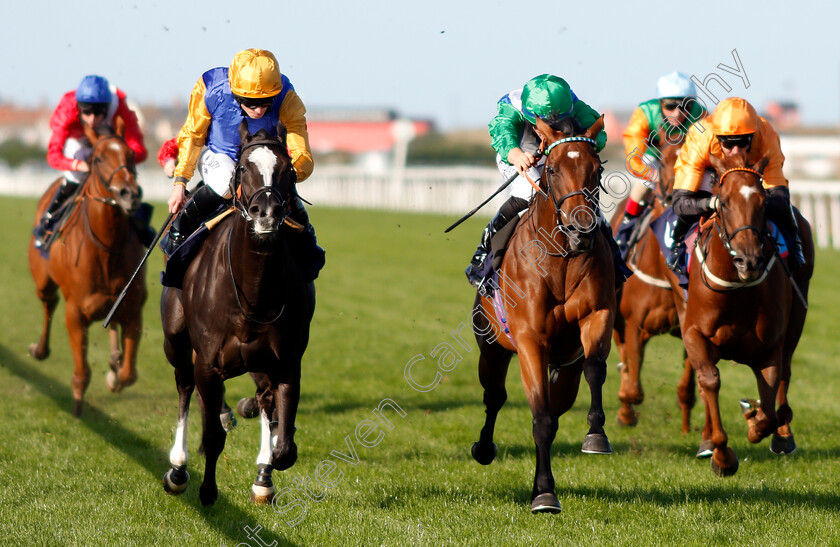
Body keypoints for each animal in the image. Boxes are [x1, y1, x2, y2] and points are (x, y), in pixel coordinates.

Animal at [159, 122, 314, 508]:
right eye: (244, 167)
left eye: (288, 171)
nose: (267, 213)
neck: (254, 294)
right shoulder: (207, 363)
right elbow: (213, 434)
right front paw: (206, 490)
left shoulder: (287, 361)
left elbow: (284, 445)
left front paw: (265, 474)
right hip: (176, 344)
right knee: (184, 387)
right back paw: (178, 469)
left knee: (263, 402)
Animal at [470, 115, 612, 512]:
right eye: (552, 169)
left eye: (596, 169)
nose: (581, 229)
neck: (560, 259)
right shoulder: (530, 341)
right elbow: (540, 419)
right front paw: (545, 493)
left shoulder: (598, 314)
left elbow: (595, 368)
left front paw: (596, 434)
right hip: (492, 347)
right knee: (495, 397)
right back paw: (483, 448)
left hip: (564, 369)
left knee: (560, 403)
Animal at [612, 128, 696, 432]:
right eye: (664, 161)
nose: (676, 196)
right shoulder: (634, 324)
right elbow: (634, 389)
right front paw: (626, 413)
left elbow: (687, 388)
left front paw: (688, 429)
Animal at [684, 151, 812, 476]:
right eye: (724, 202)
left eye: (763, 202)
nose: (749, 260)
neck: (737, 291)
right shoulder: (693, 333)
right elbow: (709, 380)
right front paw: (721, 455)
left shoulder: (769, 348)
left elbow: (769, 409)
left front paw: (753, 420)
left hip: (797, 318)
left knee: (786, 375)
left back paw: (783, 436)